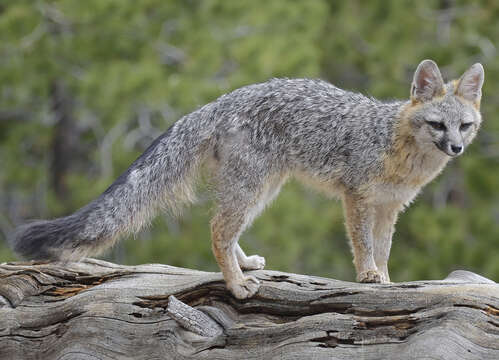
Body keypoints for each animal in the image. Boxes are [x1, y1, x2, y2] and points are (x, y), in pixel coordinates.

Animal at [11, 59, 484, 298]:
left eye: (465, 127)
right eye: (438, 125)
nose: (456, 149)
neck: (396, 146)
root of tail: (217, 102)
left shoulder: (390, 207)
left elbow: (384, 249)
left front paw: (386, 279)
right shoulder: (357, 198)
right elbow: (364, 245)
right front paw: (368, 276)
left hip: (263, 190)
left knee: (226, 229)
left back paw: (243, 266)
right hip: (253, 188)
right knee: (218, 230)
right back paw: (236, 284)